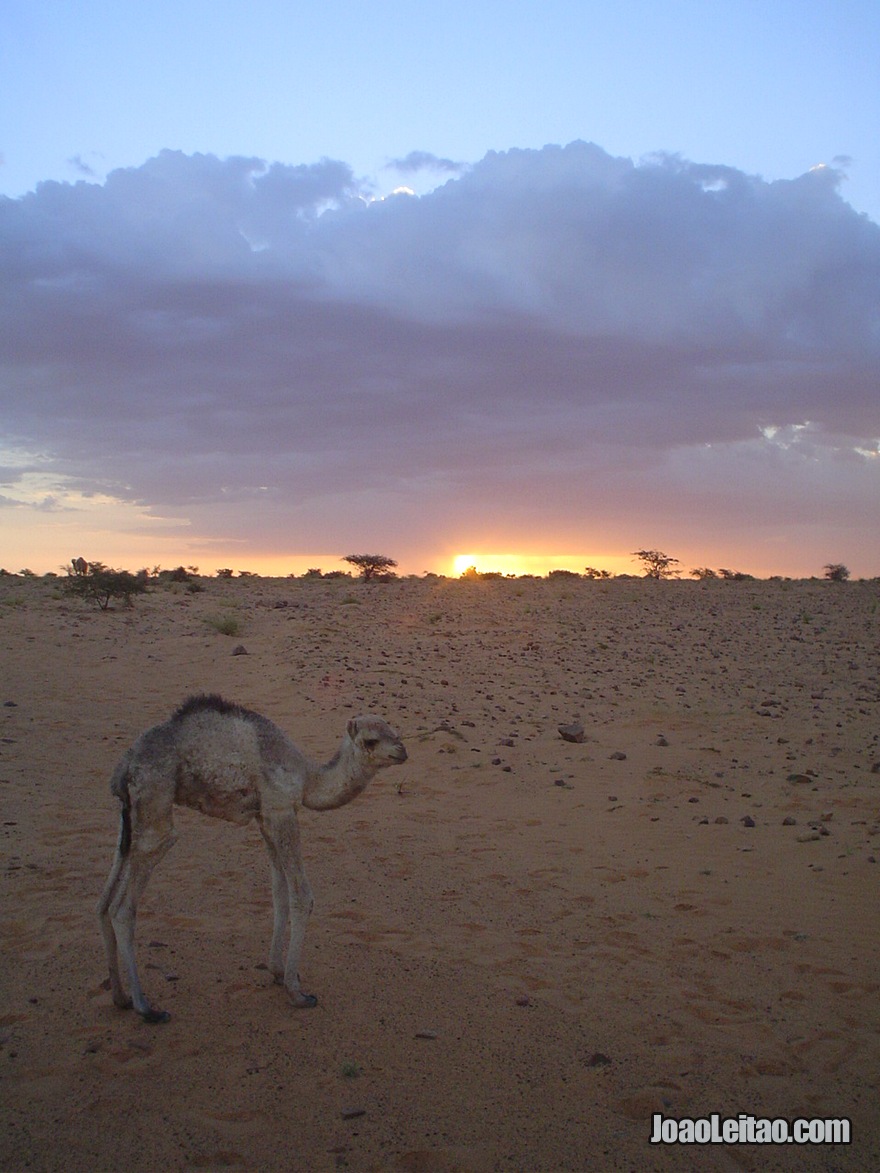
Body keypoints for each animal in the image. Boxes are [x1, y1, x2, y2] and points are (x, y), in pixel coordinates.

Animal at [97, 689, 410, 1022]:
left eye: (392, 729)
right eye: (371, 740)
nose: (402, 750)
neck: (307, 778)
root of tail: (124, 768)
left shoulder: (266, 818)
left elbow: (278, 893)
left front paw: (278, 971)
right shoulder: (282, 810)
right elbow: (301, 896)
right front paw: (296, 992)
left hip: (129, 816)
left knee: (104, 902)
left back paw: (120, 996)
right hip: (155, 801)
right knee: (123, 907)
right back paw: (146, 1007)